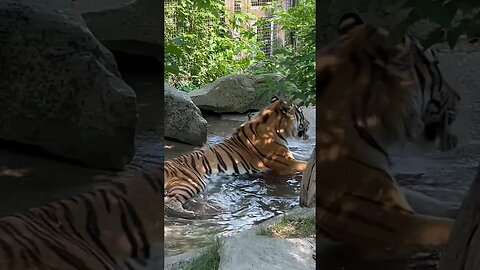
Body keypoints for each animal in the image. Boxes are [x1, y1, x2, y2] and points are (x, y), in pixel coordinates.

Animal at [163, 96, 310, 214]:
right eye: (302, 114)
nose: (309, 123)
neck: (277, 129)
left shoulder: (288, 156)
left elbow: (302, 156)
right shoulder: (285, 162)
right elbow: (304, 165)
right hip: (191, 182)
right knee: (169, 202)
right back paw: (191, 214)